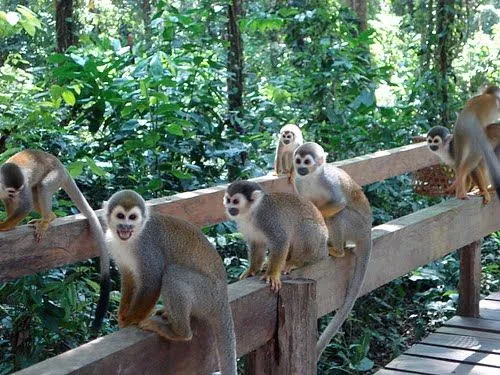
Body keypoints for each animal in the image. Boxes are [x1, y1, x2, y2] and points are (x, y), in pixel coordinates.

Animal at [0, 150, 110, 332]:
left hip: (55, 176)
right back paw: (47, 218)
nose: (13, 196)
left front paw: (2, 226)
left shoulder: (20, 189)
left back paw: (47, 219)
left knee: (42, 187)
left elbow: (25, 206)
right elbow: (10, 203)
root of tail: (60, 165)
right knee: (36, 189)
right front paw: (8, 223)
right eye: (10, 191)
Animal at [104, 191, 237, 375]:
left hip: (207, 294)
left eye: (132, 218)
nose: (125, 227)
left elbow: (152, 282)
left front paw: (130, 321)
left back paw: (180, 333)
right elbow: (128, 277)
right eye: (120, 216)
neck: (133, 237)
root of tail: (223, 296)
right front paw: (122, 314)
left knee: (172, 274)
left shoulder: (147, 246)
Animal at [292, 142, 372, 360]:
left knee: (339, 214)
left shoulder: (329, 182)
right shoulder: (298, 182)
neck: (311, 177)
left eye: (307, 161)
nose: (300, 167)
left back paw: (337, 250)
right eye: (298, 160)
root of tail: (368, 232)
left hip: (357, 226)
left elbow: (338, 202)